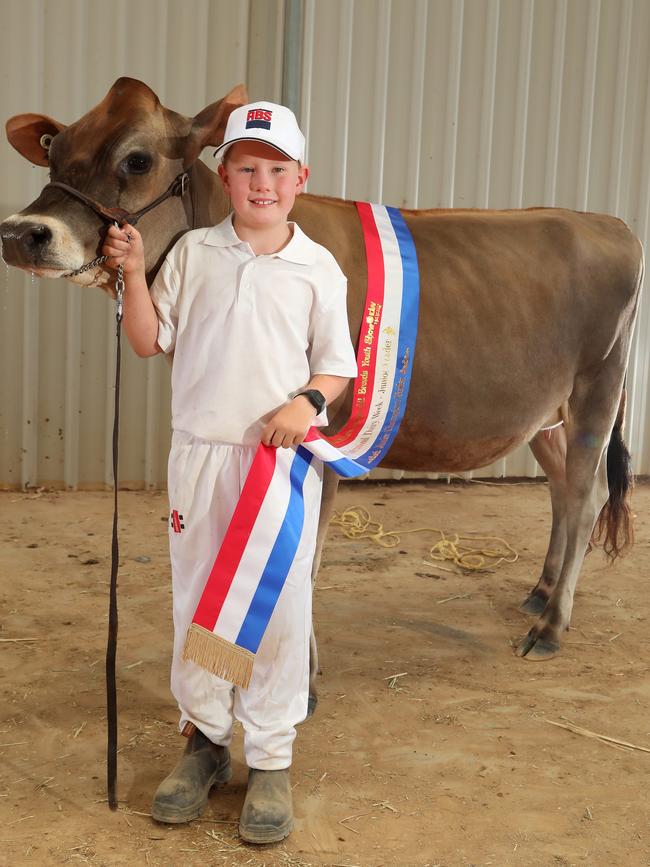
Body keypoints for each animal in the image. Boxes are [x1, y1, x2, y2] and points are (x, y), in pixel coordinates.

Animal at [0, 78, 636, 708]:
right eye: (54, 150)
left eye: (137, 159)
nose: (21, 233)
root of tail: (609, 223)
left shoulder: (320, 439)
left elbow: (303, 562)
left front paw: (298, 679)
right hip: (546, 413)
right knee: (562, 489)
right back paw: (540, 592)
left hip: (597, 389)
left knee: (587, 495)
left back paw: (550, 626)